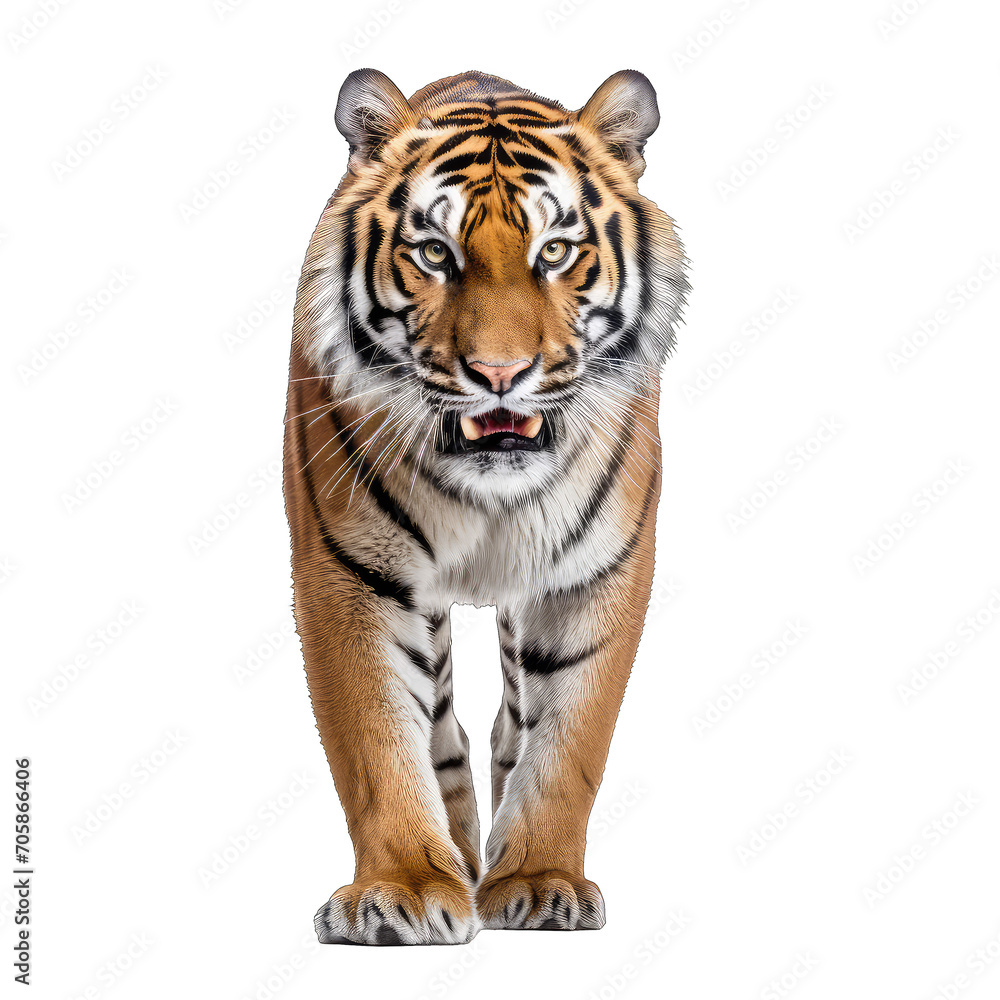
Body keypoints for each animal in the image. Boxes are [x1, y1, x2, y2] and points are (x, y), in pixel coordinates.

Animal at [282, 67, 688, 946]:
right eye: (436, 253)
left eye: (556, 252)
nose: (500, 374)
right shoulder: (349, 574)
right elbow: (375, 739)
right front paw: (400, 888)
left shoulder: (596, 574)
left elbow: (569, 743)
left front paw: (539, 880)